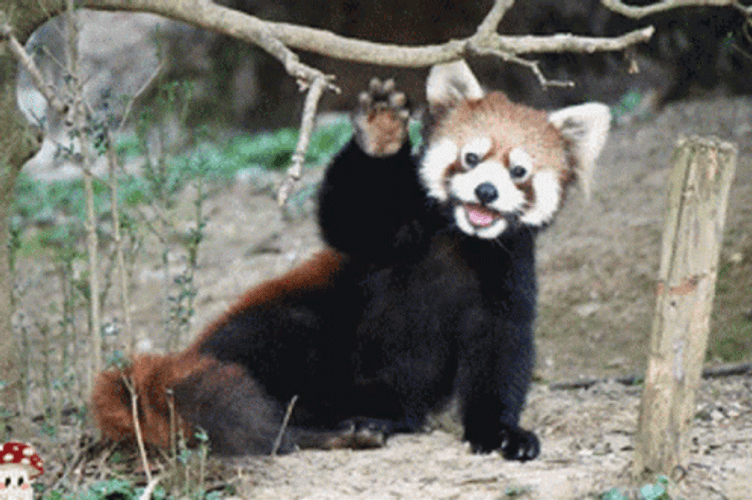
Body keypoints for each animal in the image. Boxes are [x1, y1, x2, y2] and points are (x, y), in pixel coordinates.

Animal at [91, 60, 609, 462]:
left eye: (518, 171)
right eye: (470, 158)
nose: (485, 191)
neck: (460, 241)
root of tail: (191, 353)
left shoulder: (505, 278)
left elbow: (501, 356)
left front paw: (501, 433)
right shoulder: (390, 235)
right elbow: (348, 215)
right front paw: (381, 131)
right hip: (283, 331)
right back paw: (325, 428)